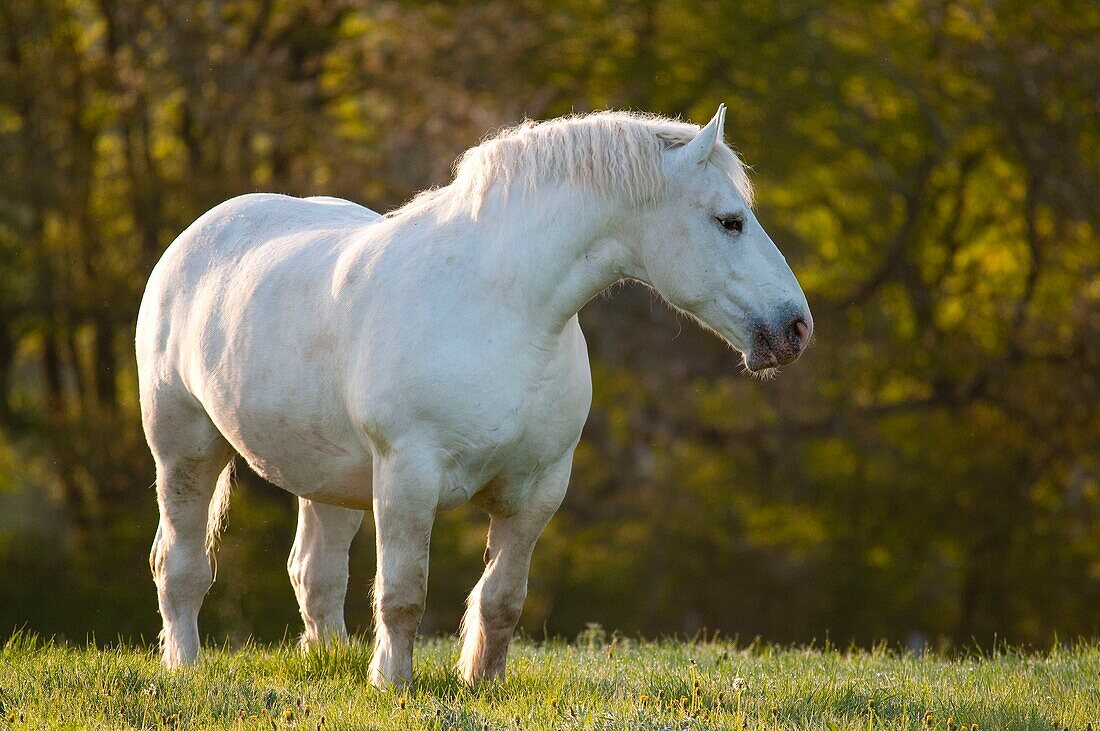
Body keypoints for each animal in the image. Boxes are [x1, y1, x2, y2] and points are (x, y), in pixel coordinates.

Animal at [135, 103, 809, 685]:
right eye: (730, 221)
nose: (795, 329)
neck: (501, 309)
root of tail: (199, 235)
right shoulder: (407, 478)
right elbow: (404, 593)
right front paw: (392, 683)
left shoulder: (537, 490)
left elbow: (502, 599)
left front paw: (481, 680)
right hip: (185, 449)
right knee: (180, 563)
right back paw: (184, 666)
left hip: (329, 478)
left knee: (315, 573)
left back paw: (329, 660)